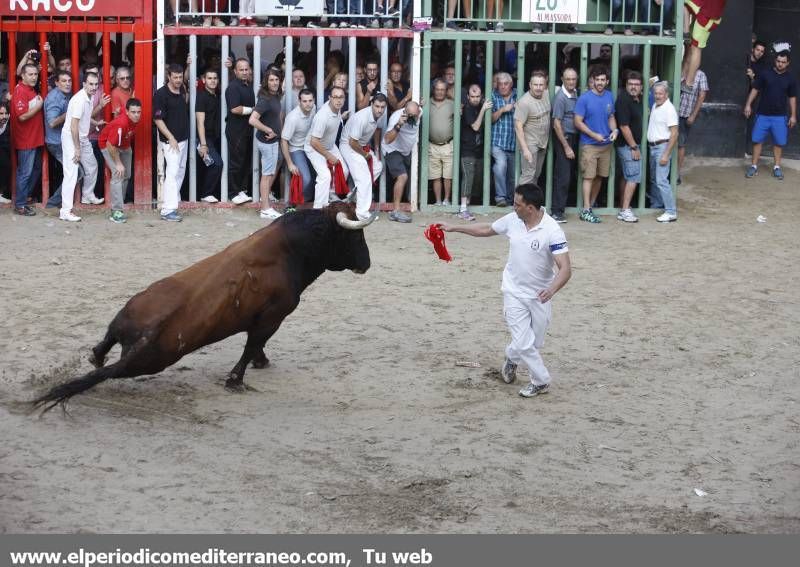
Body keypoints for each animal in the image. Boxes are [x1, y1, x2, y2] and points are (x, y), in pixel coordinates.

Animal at [32, 202, 376, 410]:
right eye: (355, 237)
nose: (367, 264)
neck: (291, 248)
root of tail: (148, 334)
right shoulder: (273, 317)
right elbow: (252, 345)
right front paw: (236, 379)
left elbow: (255, 345)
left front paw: (259, 364)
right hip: (153, 360)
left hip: (130, 310)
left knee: (105, 340)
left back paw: (96, 357)